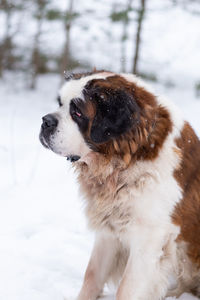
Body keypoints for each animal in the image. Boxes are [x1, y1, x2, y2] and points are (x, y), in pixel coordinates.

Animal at [39, 70, 200, 300]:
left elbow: (127, 288)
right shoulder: (109, 229)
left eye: (77, 112)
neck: (128, 157)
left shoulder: (149, 239)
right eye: (60, 103)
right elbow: (92, 275)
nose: (46, 121)